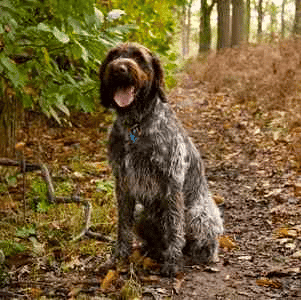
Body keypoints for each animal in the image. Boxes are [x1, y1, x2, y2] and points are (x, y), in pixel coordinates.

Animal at [99, 42, 223, 276]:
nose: (119, 68)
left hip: (198, 213)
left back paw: (196, 254)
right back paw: (151, 250)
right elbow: (123, 226)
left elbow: (174, 225)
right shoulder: (123, 183)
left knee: (203, 240)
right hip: (142, 213)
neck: (135, 124)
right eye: (112, 56)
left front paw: (172, 263)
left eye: (139, 57)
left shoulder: (171, 181)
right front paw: (119, 258)